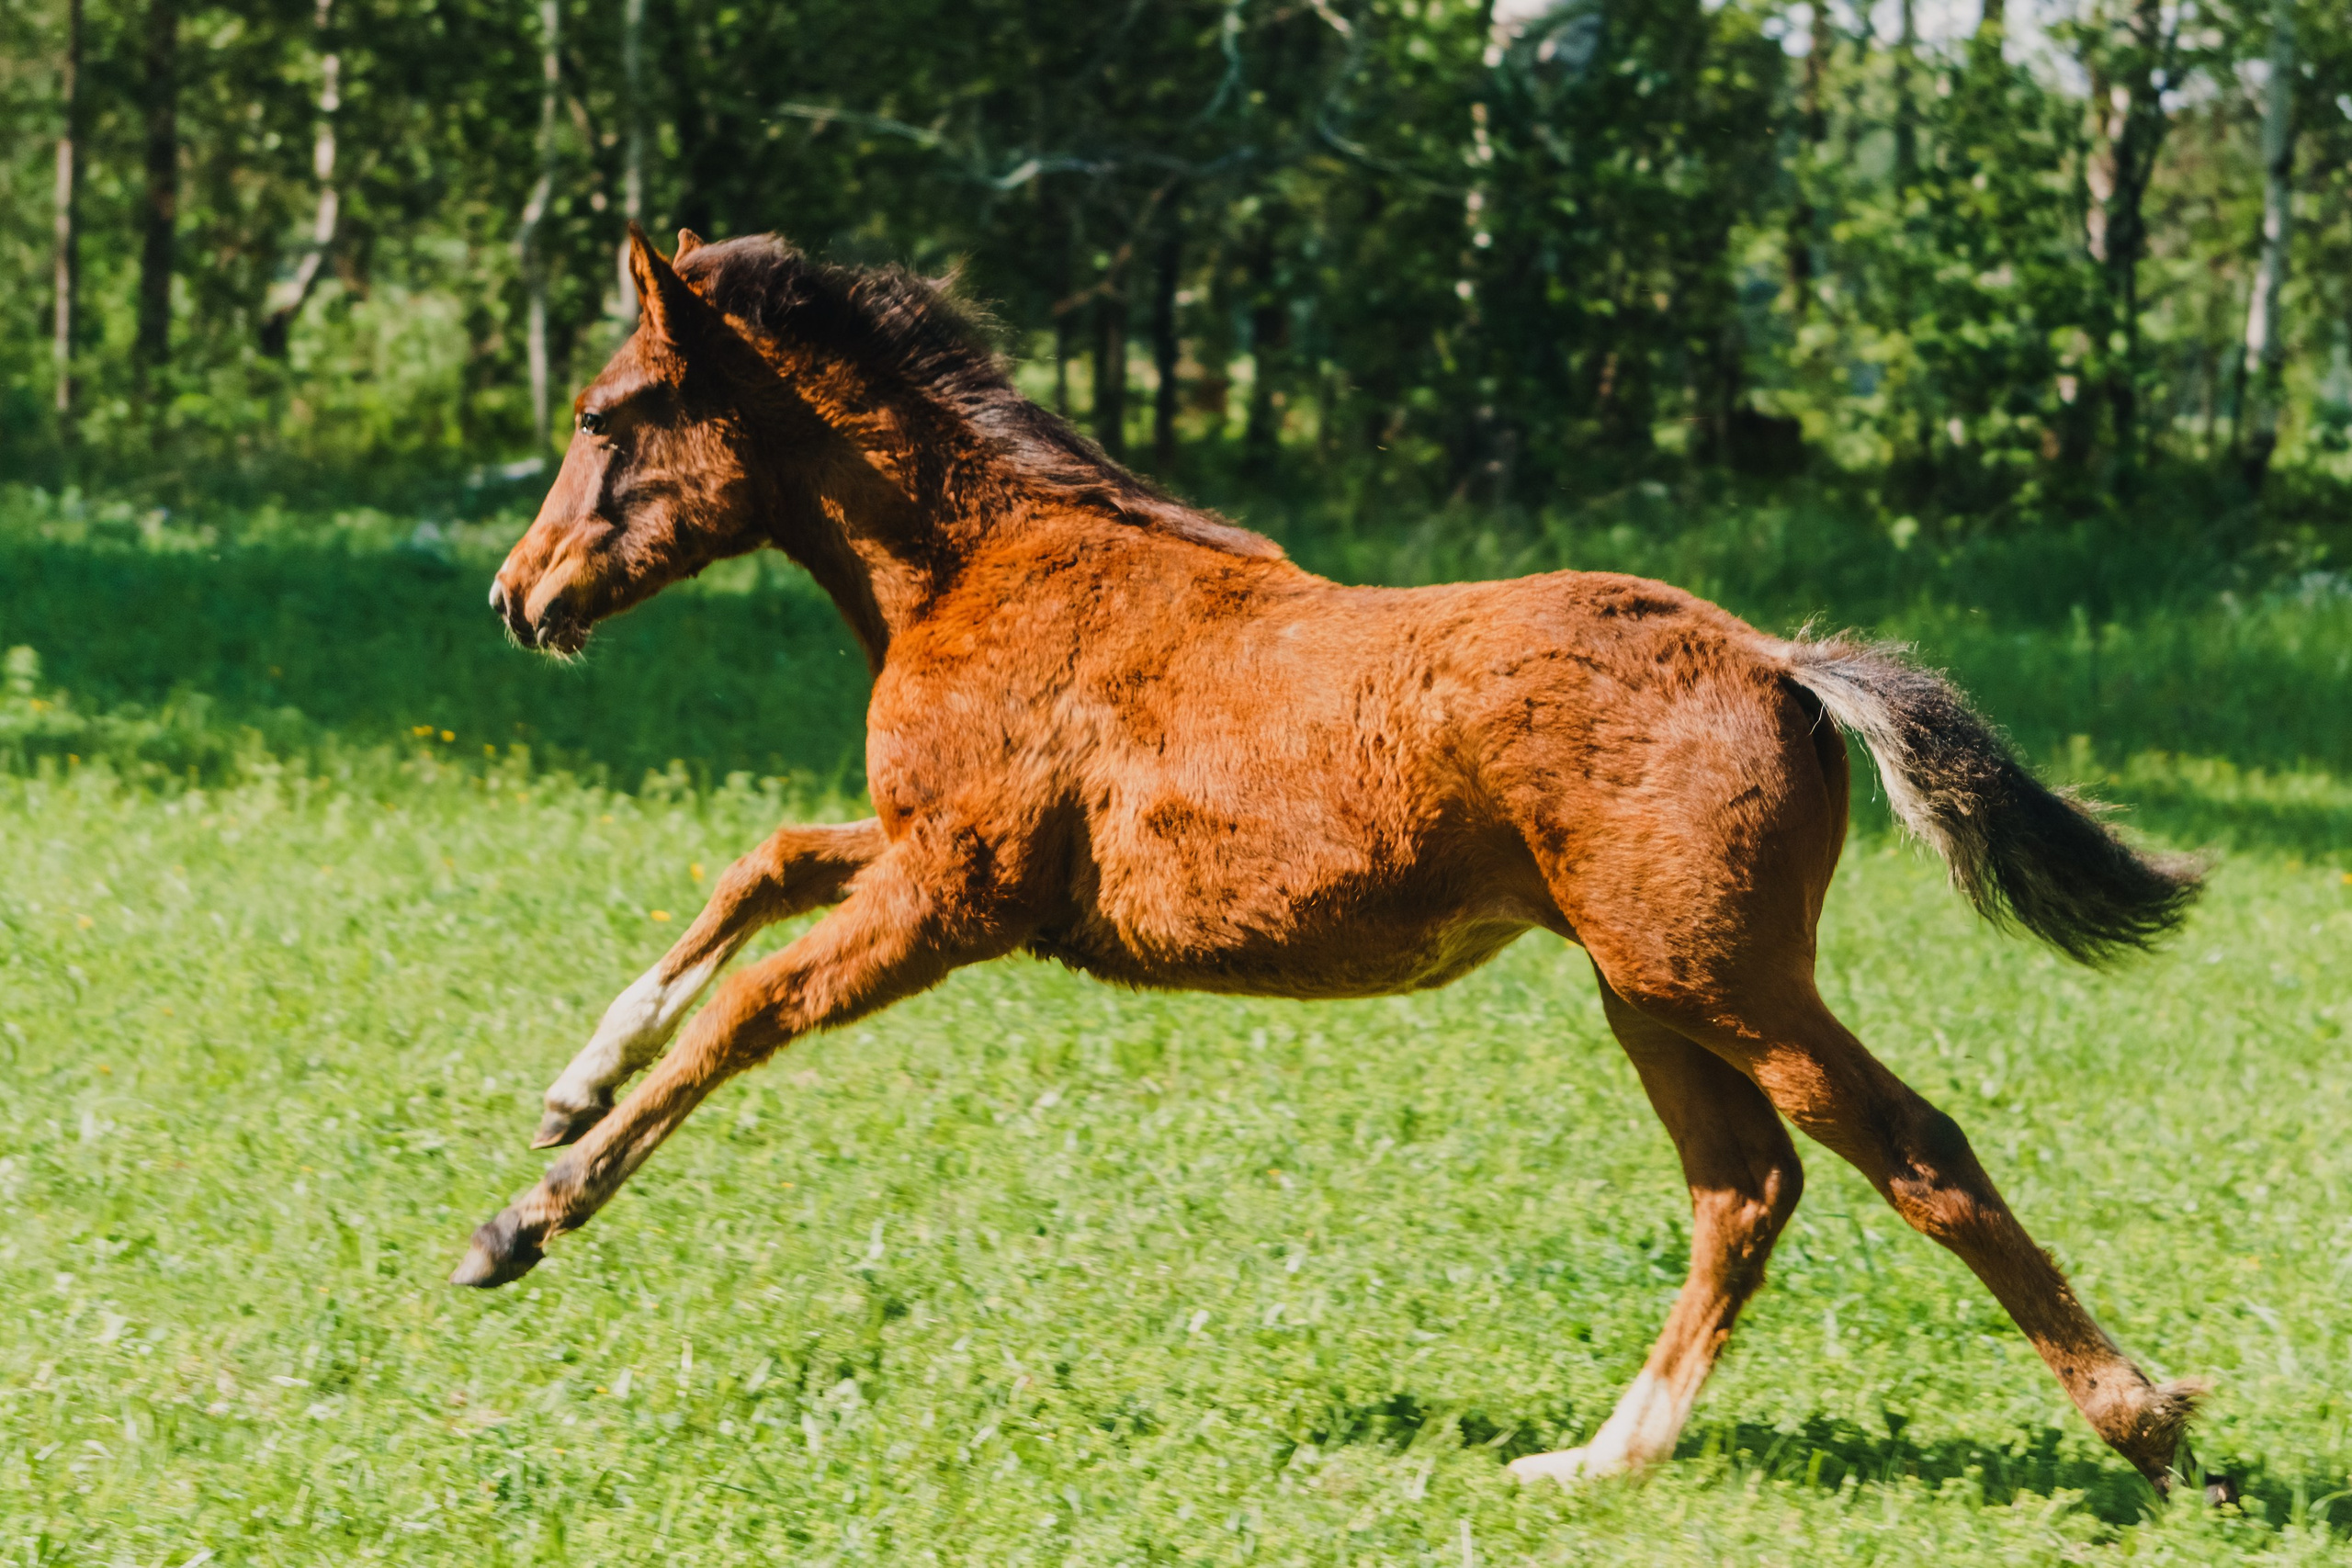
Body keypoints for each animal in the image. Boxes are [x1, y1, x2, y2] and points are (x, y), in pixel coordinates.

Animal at [461, 225, 2206, 1490]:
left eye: (606, 418)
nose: (515, 597)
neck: (987, 567)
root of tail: (1780, 660)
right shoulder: (927, 856)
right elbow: (757, 863)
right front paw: (569, 1084)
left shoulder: (958, 893)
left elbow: (751, 1005)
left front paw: (524, 1219)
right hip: (1651, 985)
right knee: (1746, 1185)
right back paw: (1598, 1457)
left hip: (1715, 973)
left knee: (1915, 1150)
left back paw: (2145, 1421)